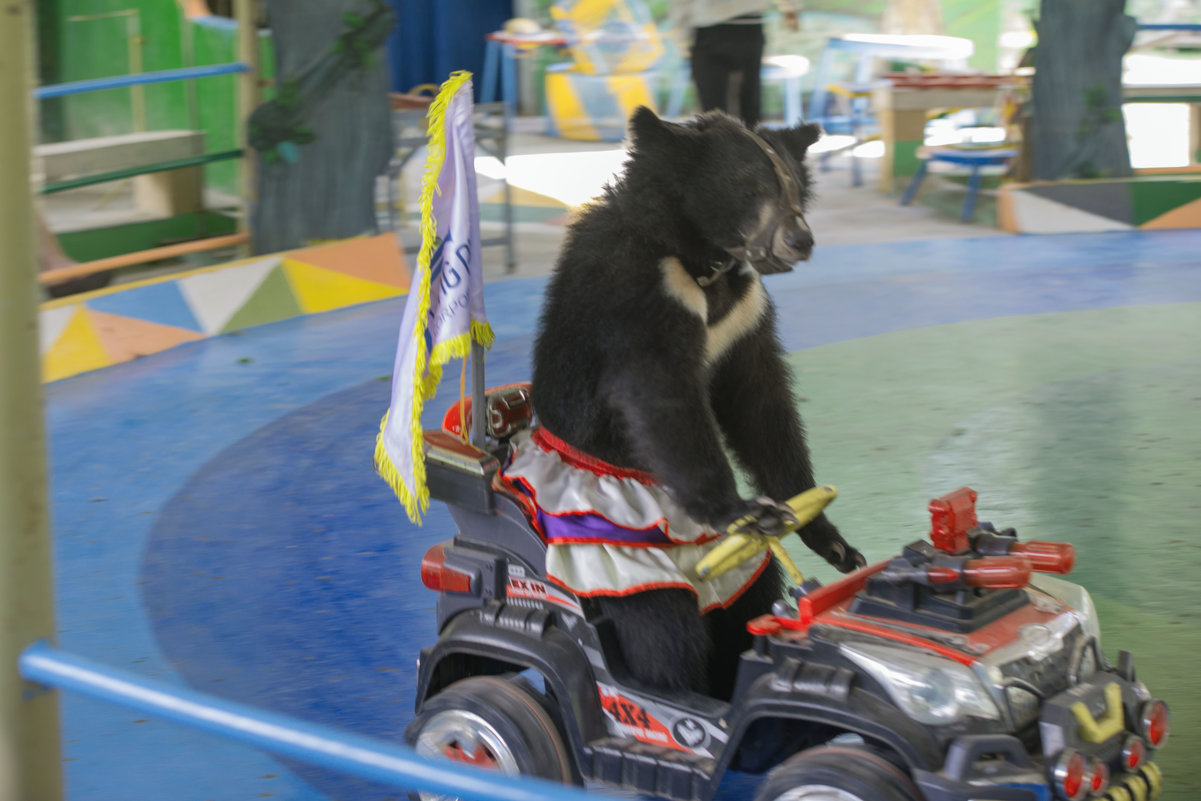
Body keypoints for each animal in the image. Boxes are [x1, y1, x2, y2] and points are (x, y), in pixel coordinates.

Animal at [504, 108, 864, 701]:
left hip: (723, 565)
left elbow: (760, 404)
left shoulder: (744, 313)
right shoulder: (635, 289)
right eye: (751, 188)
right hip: (612, 558)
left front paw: (832, 541)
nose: (800, 239)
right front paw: (742, 509)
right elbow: (660, 395)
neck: (704, 263)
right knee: (659, 631)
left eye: (793, 187)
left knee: (748, 598)